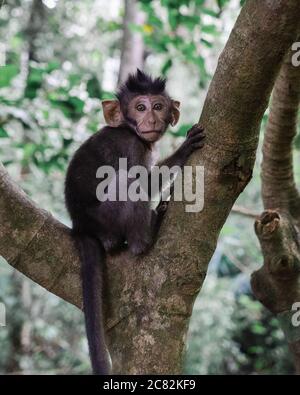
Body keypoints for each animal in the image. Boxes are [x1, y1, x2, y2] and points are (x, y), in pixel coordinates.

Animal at [64, 69, 205, 376]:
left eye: (158, 106)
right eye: (140, 107)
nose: (150, 120)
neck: (128, 130)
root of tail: (81, 226)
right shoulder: (130, 146)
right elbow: (141, 180)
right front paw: (183, 149)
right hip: (107, 219)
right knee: (127, 182)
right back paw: (147, 236)